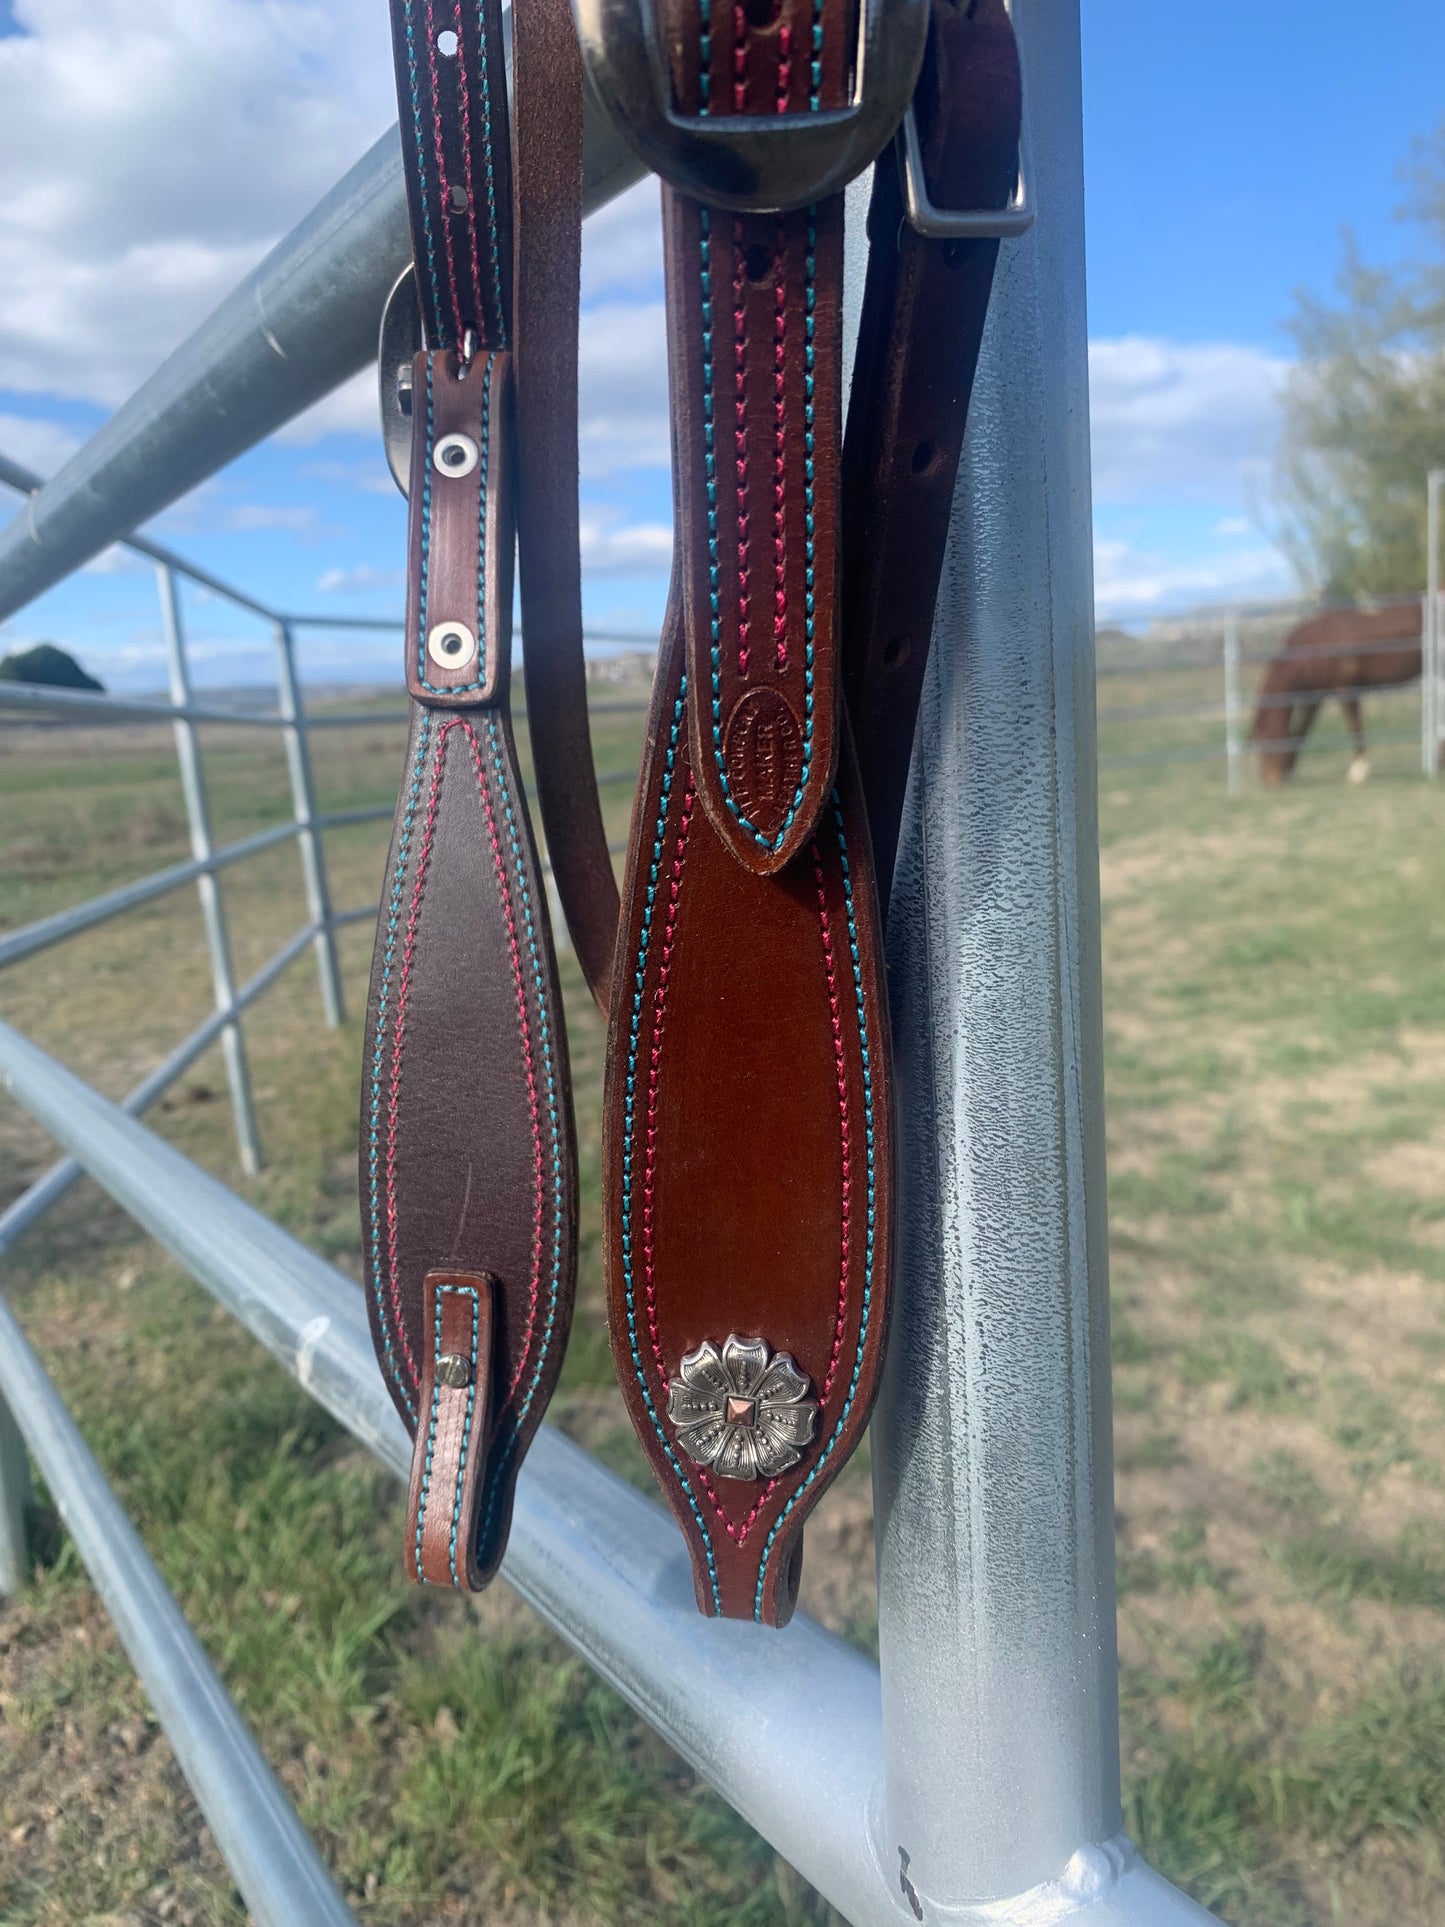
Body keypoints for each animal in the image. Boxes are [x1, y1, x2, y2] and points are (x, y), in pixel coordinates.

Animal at [1256, 601, 1425, 782]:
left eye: (1267, 740)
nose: (1270, 780)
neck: (1318, 642)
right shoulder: (1316, 695)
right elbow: (1302, 729)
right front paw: (1289, 769)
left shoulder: (1347, 690)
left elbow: (1354, 726)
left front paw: (1358, 772)